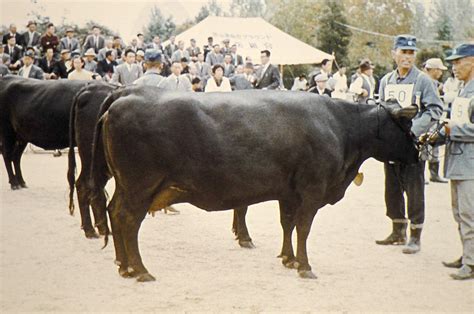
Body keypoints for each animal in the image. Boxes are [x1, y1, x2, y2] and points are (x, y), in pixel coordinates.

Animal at [91, 86, 418, 282]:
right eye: (407, 124)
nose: (418, 153)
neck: (339, 125)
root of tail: (124, 95)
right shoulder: (312, 190)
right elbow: (303, 228)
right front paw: (305, 266)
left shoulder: (290, 193)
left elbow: (288, 224)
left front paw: (288, 259)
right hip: (139, 186)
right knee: (127, 220)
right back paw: (140, 270)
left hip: (126, 186)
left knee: (113, 211)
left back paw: (124, 266)